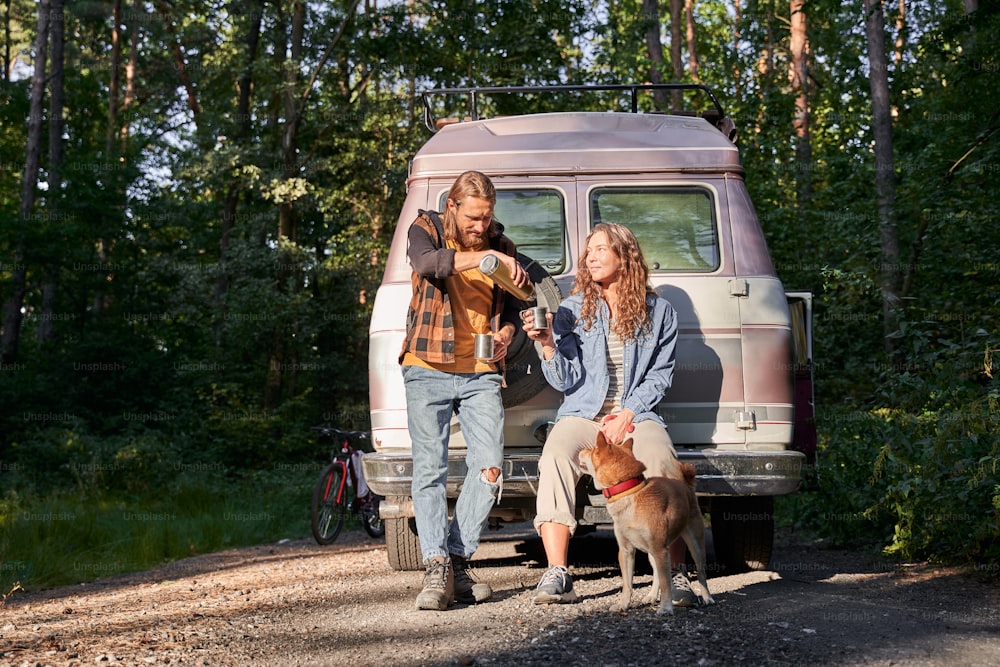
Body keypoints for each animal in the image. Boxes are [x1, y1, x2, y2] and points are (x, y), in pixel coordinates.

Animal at [584, 434, 716, 616]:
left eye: (592, 450)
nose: (582, 449)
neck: (630, 493)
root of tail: (685, 485)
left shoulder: (660, 550)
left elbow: (667, 584)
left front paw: (666, 607)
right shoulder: (626, 551)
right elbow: (628, 585)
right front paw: (623, 605)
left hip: (693, 546)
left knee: (700, 573)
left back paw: (707, 597)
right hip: (652, 554)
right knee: (656, 575)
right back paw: (652, 596)